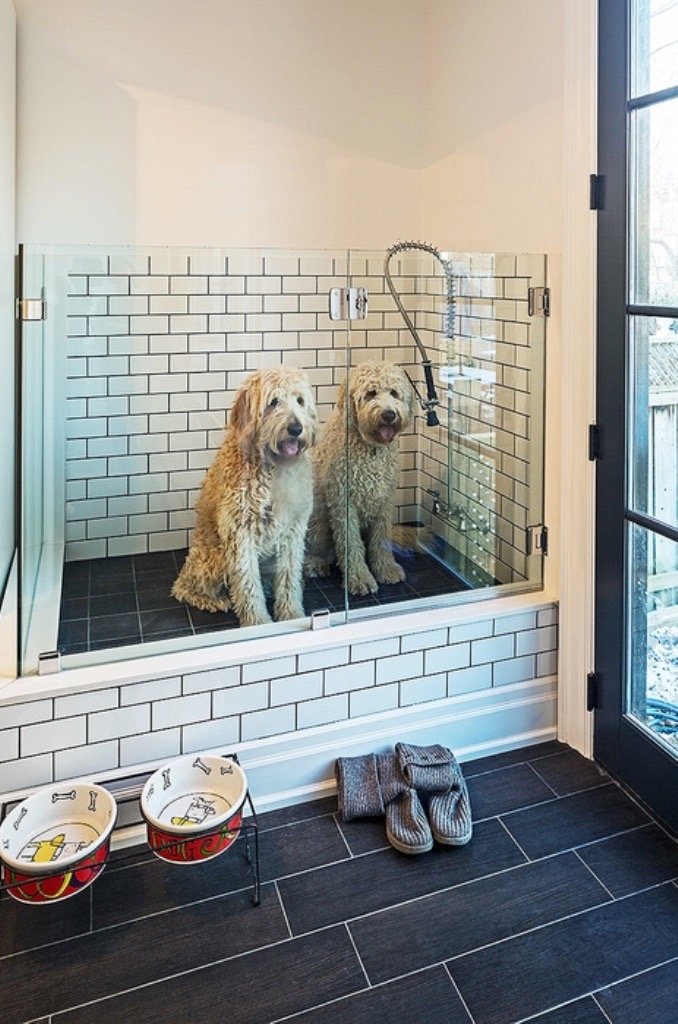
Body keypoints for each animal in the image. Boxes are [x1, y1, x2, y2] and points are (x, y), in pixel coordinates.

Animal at [171, 368, 317, 622]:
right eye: (273, 402)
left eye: (300, 400)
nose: (296, 428)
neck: (274, 466)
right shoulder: (240, 532)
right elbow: (248, 582)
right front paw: (258, 622)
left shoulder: (293, 530)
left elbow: (289, 577)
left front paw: (291, 614)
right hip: (213, 559)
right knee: (184, 588)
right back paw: (213, 600)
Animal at [307, 362, 413, 598]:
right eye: (371, 393)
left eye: (394, 393)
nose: (389, 414)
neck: (371, 450)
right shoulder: (344, 505)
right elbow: (351, 545)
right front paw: (360, 579)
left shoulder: (384, 503)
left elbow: (380, 542)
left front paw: (386, 569)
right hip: (317, 521)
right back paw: (315, 563)